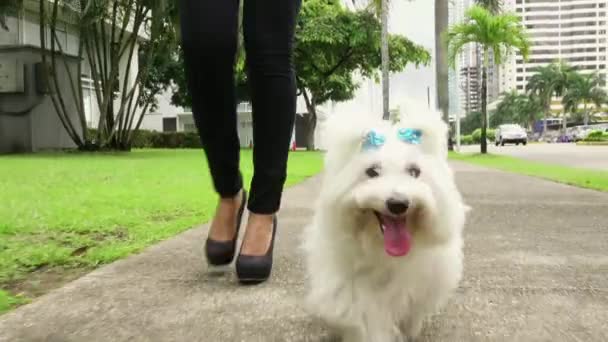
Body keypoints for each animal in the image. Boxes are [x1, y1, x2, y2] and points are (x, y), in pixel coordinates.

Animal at [302, 105, 468, 342]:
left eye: (414, 172)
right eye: (372, 171)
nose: (398, 203)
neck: (381, 248)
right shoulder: (355, 291)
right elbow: (369, 320)